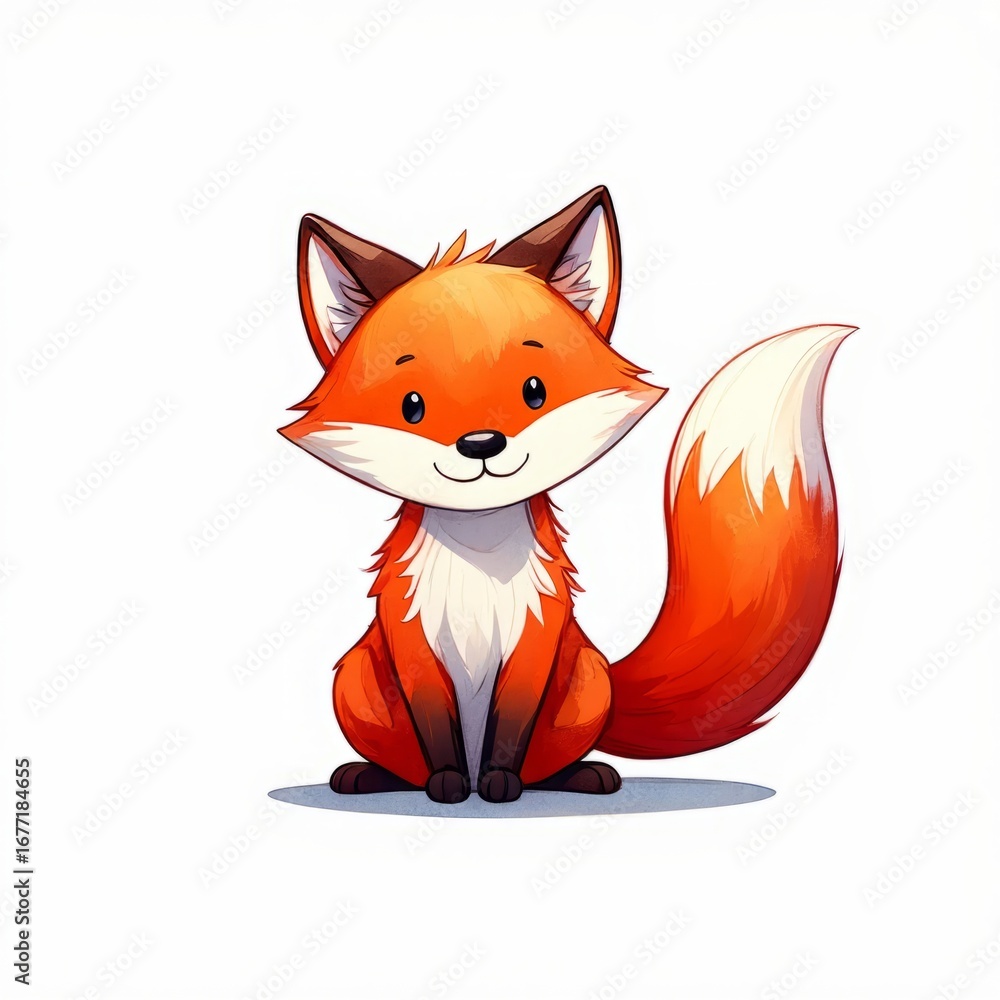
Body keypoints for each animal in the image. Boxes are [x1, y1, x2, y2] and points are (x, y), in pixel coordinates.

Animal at [279, 186, 852, 805]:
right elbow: (437, 728)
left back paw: (579, 776)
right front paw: (449, 783)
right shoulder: (411, 637)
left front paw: (498, 782)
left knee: (548, 764)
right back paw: (370, 776)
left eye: (535, 391)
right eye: (412, 406)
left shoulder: (538, 633)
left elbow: (511, 725)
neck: (480, 558)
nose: (481, 444)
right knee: (401, 760)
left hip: (589, 680)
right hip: (355, 677)